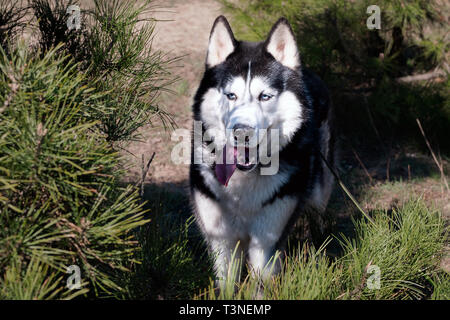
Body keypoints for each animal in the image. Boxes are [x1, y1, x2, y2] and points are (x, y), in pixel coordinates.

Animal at [190, 16, 334, 284]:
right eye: (231, 95)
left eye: (265, 96)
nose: (242, 132)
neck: (243, 186)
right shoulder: (222, 243)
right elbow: (227, 284)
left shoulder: (266, 244)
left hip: (319, 194)